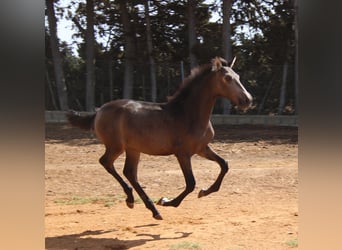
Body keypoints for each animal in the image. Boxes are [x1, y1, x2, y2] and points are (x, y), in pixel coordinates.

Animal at [67, 56, 254, 219]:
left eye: (238, 76)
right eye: (227, 78)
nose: (247, 100)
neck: (188, 114)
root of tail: (99, 111)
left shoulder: (202, 148)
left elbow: (224, 164)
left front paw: (204, 192)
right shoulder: (182, 154)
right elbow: (191, 183)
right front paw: (167, 201)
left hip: (133, 149)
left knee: (129, 172)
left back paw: (147, 208)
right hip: (116, 147)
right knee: (106, 162)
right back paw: (139, 202)